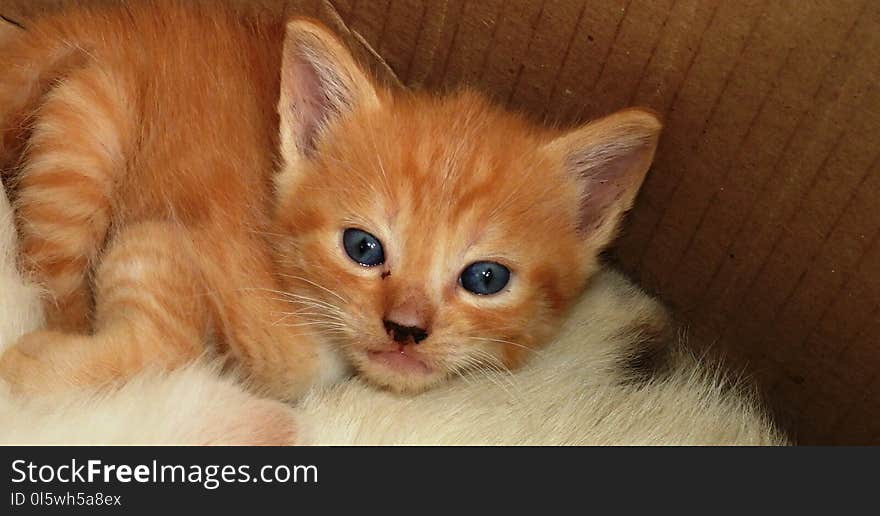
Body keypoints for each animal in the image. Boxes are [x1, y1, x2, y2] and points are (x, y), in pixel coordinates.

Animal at [0, 1, 660, 396]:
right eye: (362, 247)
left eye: (485, 278)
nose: (405, 329)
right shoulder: (159, 239)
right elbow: (172, 337)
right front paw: (31, 368)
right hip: (88, 126)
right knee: (50, 273)